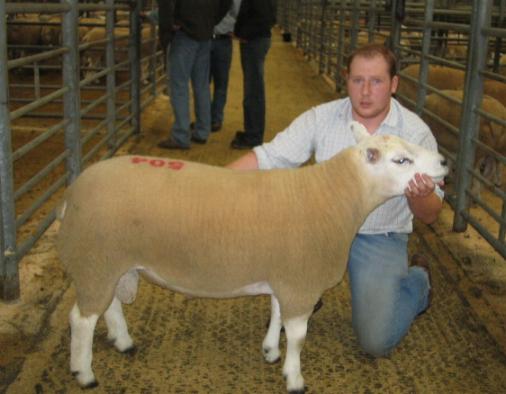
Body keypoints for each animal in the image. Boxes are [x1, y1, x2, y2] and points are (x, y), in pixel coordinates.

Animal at [57, 121, 448, 392]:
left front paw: (271, 351)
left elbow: (276, 316)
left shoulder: (284, 274)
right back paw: (84, 373)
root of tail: (71, 194)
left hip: (107, 261)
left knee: (108, 306)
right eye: (401, 160)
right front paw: (294, 378)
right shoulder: (300, 282)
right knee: (81, 319)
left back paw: (123, 342)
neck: (334, 196)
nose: (444, 161)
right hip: (95, 258)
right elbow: (298, 335)